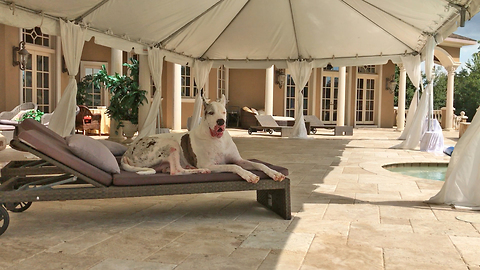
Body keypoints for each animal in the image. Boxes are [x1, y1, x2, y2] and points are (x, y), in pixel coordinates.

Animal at [121, 95, 284, 184]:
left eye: (224, 112)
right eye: (211, 113)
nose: (220, 122)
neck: (217, 140)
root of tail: (127, 151)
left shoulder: (239, 159)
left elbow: (259, 164)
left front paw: (274, 173)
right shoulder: (212, 164)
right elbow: (234, 167)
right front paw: (249, 175)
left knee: (172, 169)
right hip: (170, 144)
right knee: (176, 171)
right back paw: (200, 170)